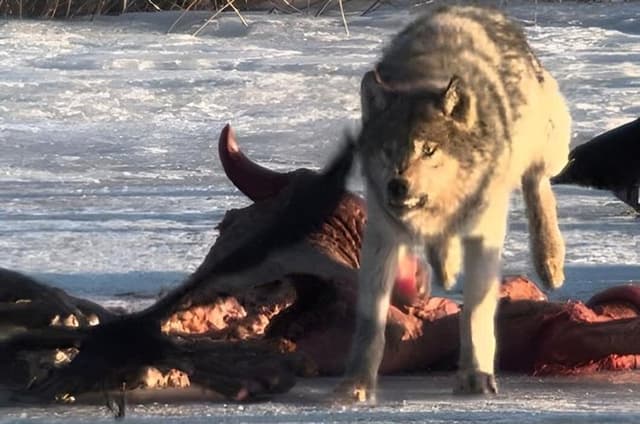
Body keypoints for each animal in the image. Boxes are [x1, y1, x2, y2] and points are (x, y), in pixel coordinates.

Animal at [338, 6, 571, 400]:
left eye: (428, 150)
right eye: (388, 149)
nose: (397, 186)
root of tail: (474, 8)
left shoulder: (484, 235)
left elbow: (474, 311)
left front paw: (476, 376)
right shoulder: (381, 237)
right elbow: (370, 322)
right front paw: (356, 384)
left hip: (544, 149)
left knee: (537, 184)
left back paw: (550, 261)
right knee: (442, 247)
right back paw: (446, 264)